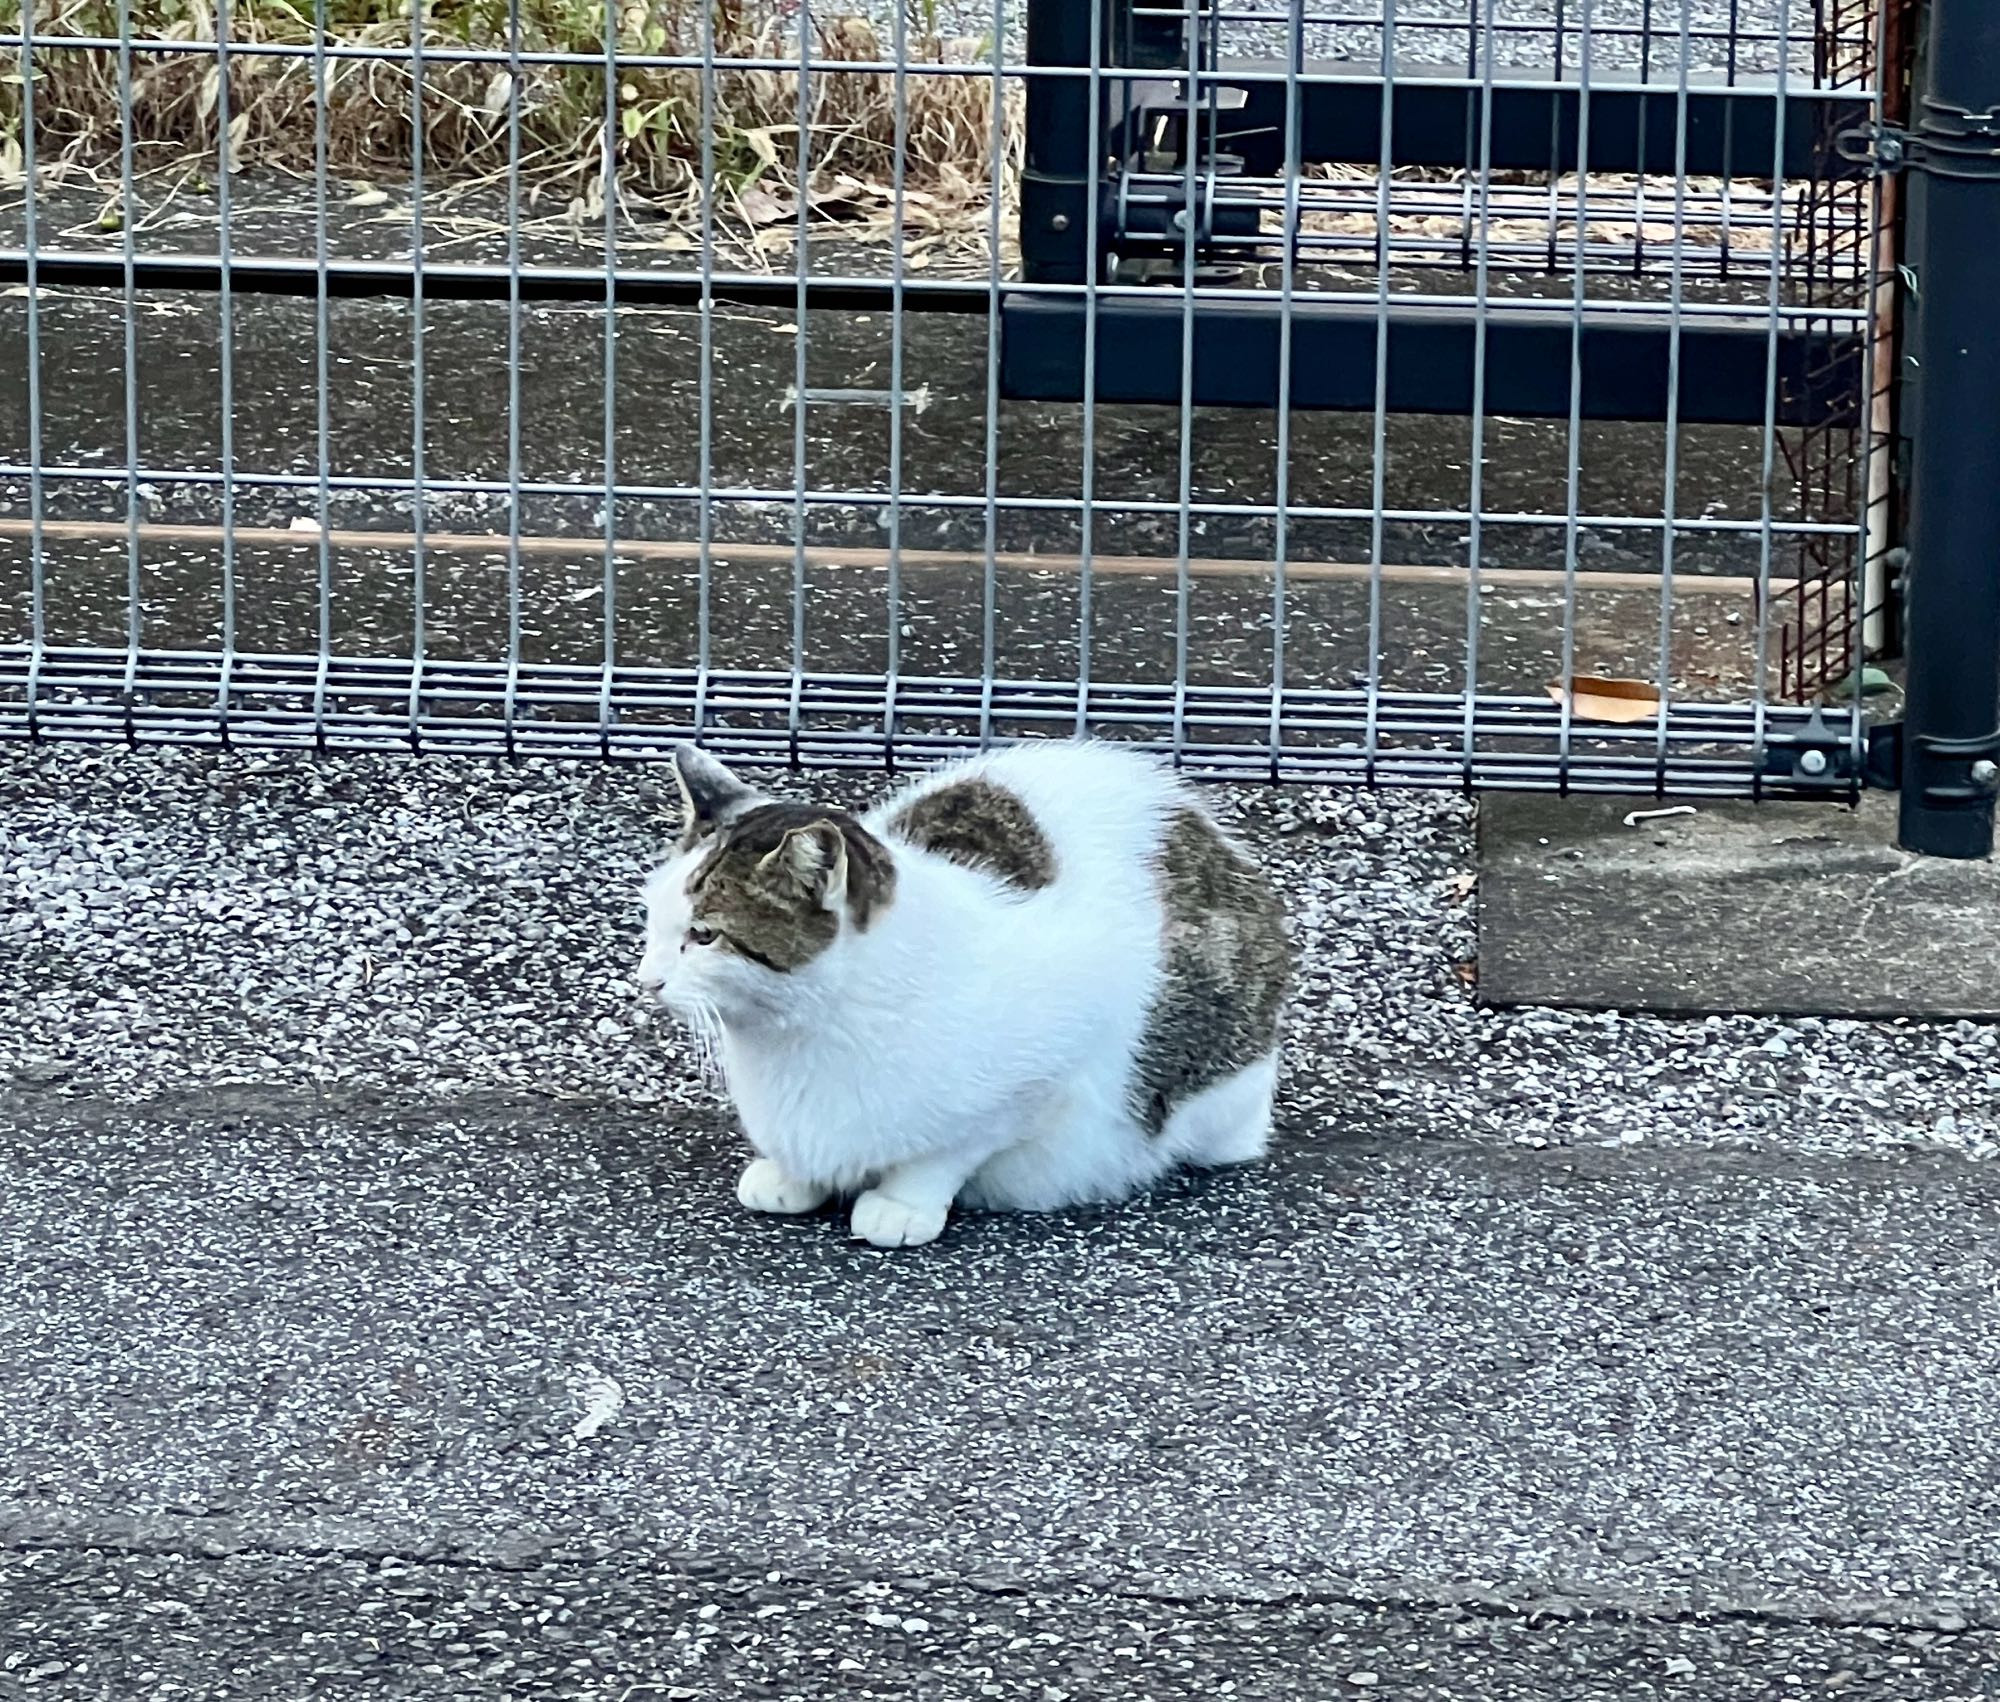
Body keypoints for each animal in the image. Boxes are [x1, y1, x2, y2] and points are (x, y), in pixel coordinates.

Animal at [640, 740, 1296, 1248]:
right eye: (653, 919)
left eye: (704, 936)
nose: (646, 980)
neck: (802, 1033)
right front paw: (791, 1177)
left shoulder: (1039, 1079)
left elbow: (946, 1153)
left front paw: (901, 1204)